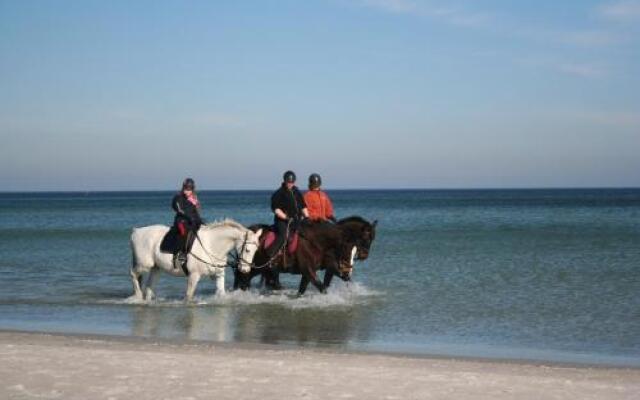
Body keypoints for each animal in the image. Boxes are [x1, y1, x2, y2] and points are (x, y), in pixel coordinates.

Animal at [130, 220, 262, 302]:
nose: (245, 270)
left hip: (156, 268)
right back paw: (138, 295)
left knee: (149, 286)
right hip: (144, 265)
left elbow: (221, 293)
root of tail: (136, 232)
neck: (211, 245)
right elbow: (189, 296)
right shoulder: (194, 276)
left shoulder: (219, 275)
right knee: (133, 274)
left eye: (256, 250)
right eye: (248, 250)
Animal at [234, 214, 376, 296]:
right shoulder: (309, 270)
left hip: (262, 268)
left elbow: (303, 289)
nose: (364, 256)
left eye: (355, 250)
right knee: (242, 278)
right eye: (367, 239)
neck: (316, 241)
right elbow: (322, 287)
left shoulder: (312, 271)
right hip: (254, 266)